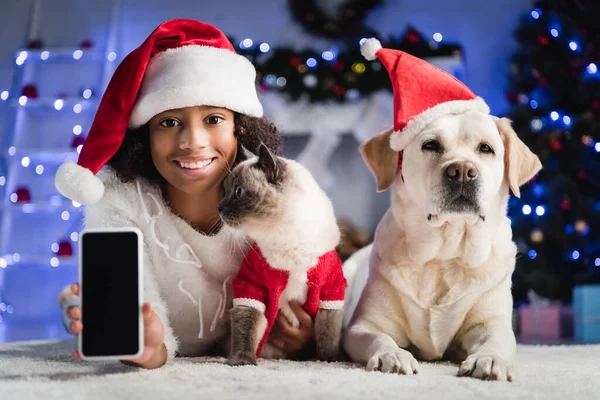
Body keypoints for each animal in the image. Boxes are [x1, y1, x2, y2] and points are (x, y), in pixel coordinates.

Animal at [218, 144, 344, 366]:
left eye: (238, 192)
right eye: (225, 191)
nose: (219, 208)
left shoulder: (331, 291)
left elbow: (328, 336)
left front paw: (330, 361)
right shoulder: (252, 288)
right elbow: (246, 329)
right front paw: (242, 361)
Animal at [342, 112, 544, 382]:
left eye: (486, 148)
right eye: (431, 145)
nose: (462, 171)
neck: (443, 258)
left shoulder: (493, 322)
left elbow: (495, 340)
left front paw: (489, 360)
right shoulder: (364, 325)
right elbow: (378, 337)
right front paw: (391, 355)